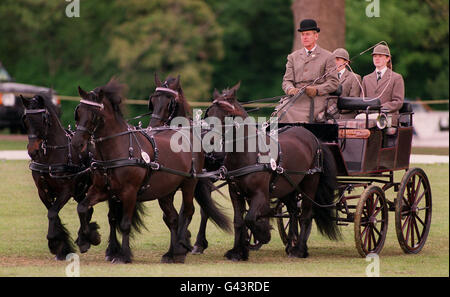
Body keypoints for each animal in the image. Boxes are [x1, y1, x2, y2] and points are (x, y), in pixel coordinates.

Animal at [20, 92, 94, 260]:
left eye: (43, 119)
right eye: (25, 119)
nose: (32, 151)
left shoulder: (66, 190)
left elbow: (53, 213)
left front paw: (54, 242)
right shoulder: (42, 191)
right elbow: (53, 213)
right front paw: (62, 245)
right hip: (81, 190)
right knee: (88, 210)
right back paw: (84, 238)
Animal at [205, 83, 342, 260]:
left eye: (227, 114)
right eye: (209, 114)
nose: (209, 141)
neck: (248, 154)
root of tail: (314, 138)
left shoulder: (260, 194)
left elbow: (250, 218)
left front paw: (263, 233)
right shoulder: (235, 193)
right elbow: (238, 221)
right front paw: (237, 251)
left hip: (310, 184)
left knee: (305, 215)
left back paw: (299, 250)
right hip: (289, 187)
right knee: (293, 212)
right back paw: (291, 245)